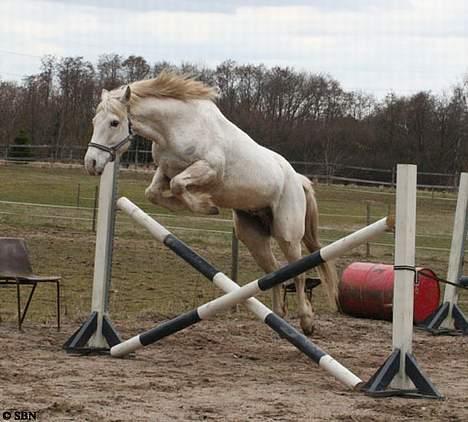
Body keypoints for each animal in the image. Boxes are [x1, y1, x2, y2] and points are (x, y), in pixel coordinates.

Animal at [85, 72, 336, 336]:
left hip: (287, 234)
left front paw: (206, 205)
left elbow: (178, 185)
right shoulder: (165, 170)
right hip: (252, 235)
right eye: (94, 120)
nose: (91, 163)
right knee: (273, 270)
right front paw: (196, 204)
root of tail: (297, 179)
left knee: (298, 274)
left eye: (114, 122)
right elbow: (153, 192)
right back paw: (279, 316)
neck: (176, 126)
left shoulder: (208, 170)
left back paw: (306, 321)